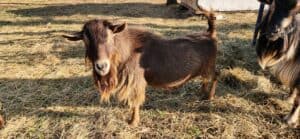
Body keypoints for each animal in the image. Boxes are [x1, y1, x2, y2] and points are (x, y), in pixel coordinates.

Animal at [63, 11, 218, 126]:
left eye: (109, 36)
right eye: (85, 40)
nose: (102, 66)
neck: (127, 50)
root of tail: (210, 34)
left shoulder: (136, 80)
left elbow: (135, 101)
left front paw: (133, 122)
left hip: (210, 66)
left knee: (216, 75)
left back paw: (209, 96)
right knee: (206, 78)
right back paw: (203, 94)